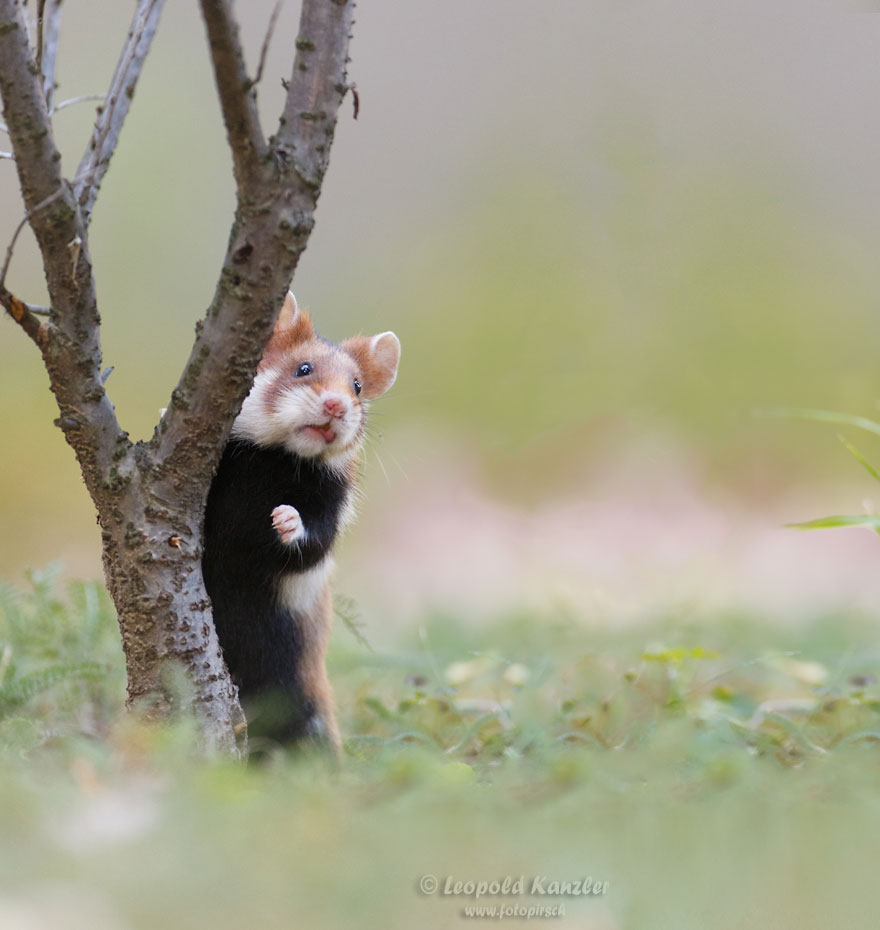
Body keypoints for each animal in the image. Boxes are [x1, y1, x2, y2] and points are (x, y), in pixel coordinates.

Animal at [202, 292, 400, 752]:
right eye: (303, 369)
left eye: (357, 387)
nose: (336, 406)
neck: (279, 463)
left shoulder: (331, 508)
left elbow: (310, 540)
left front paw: (284, 518)